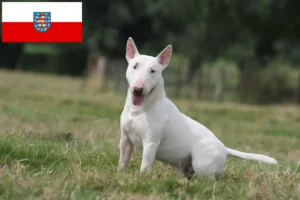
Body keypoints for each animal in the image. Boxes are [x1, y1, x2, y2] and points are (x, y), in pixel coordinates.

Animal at [118, 37, 278, 178]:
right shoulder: (125, 139)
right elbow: (123, 160)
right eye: (135, 66)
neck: (140, 110)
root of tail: (225, 149)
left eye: (153, 71)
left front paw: (142, 177)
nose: (138, 89)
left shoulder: (151, 143)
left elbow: (145, 165)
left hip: (202, 163)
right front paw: (121, 173)